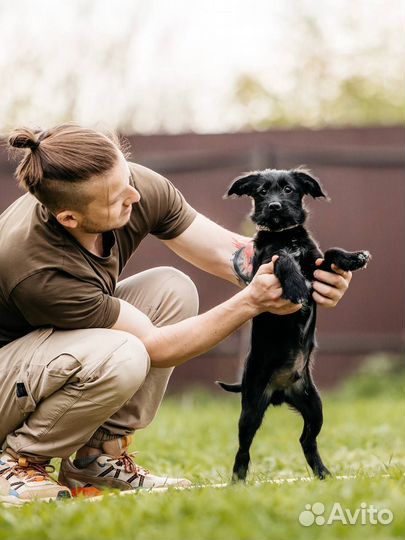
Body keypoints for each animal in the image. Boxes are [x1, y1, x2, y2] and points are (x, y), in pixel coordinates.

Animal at [216, 167, 370, 484]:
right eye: (262, 191)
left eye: (289, 189)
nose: (274, 206)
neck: (286, 236)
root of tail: (280, 391)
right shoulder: (265, 266)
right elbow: (284, 259)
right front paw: (296, 285)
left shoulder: (319, 266)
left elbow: (330, 253)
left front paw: (353, 258)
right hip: (251, 407)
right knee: (243, 447)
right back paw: (237, 481)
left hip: (314, 406)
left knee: (306, 440)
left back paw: (323, 473)